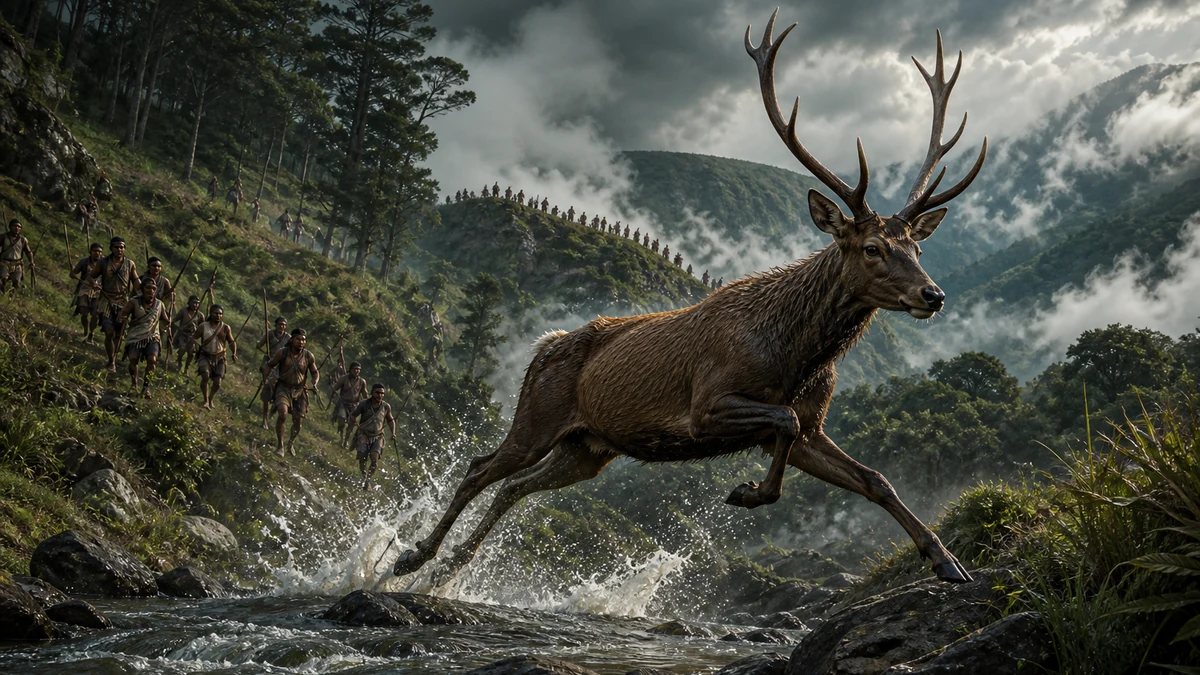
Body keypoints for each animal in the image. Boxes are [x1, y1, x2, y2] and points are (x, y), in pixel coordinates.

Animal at [392, 9, 988, 585]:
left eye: (915, 246)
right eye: (871, 248)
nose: (933, 294)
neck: (798, 355)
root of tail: (544, 344)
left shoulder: (814, 423)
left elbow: (875, 478)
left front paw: (947, 562)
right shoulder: (709, 404)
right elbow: (784, 425)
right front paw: (747, 492)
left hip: (586, 446)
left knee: (513, 487)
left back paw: (447, 569)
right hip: (538, 415)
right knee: (480, 467)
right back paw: (411, 557)